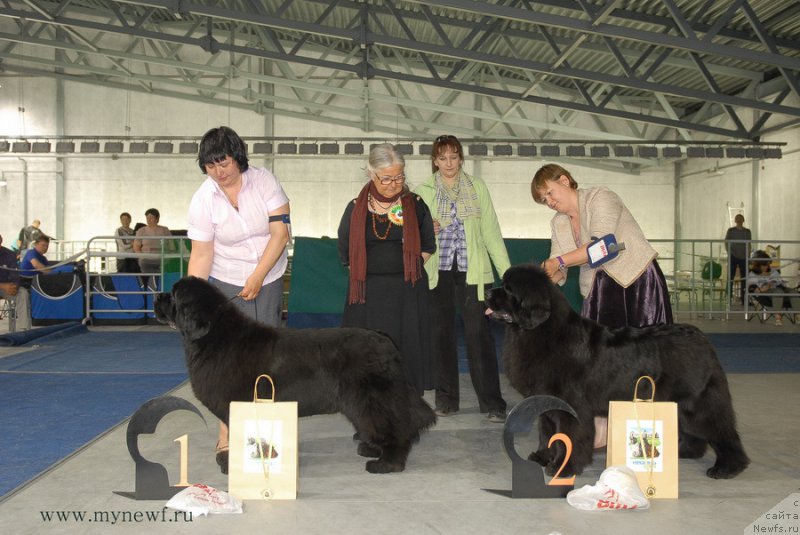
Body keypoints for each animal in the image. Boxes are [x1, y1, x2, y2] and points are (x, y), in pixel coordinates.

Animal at [152, 276, 434, 474]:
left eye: (174, 296)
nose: (156, 297)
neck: (215, 336)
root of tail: (384, 339)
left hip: (370, 398)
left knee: (395, 427)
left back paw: (387, 463)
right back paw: (371, 449)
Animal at [484, 266, 752, 480]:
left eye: (508, 289)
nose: (486, 294)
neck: (541, 332)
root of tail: (700, 337)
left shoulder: (571, 407)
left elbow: (568, 436)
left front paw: (563, 467)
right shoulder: (547, 402)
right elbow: (548, 432)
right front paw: (542, 457)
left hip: (698, 402)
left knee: (722, 431)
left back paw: (727, 468)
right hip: (681, 402)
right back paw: (686, 451)